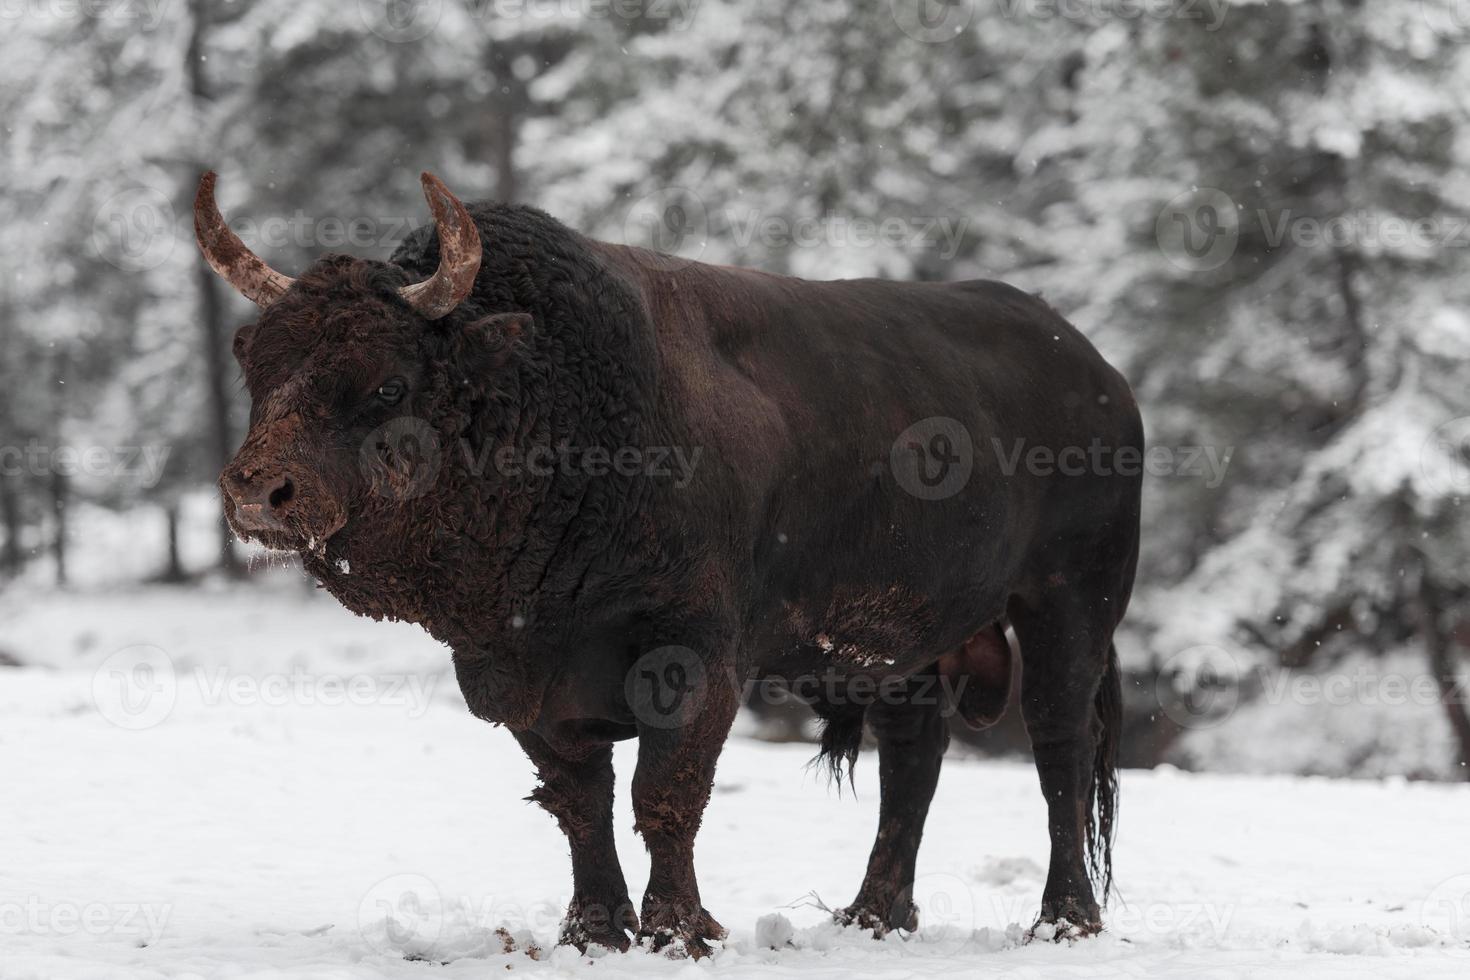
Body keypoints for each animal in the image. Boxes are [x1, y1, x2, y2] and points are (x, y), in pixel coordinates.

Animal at [207, 176, 1140, 957]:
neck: (555, 400)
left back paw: (1063, 919)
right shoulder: (518, 674)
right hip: (904, 643)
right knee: (913, 758)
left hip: (1068, 608)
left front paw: (679, 930)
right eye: (261, 368)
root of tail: (1098, 370)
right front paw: (593, 929)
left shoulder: (691, 657)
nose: (258, 489)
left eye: (387, 382)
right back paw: (874, 914)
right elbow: (580, 802)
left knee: (1059, 750)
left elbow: (666, 796)